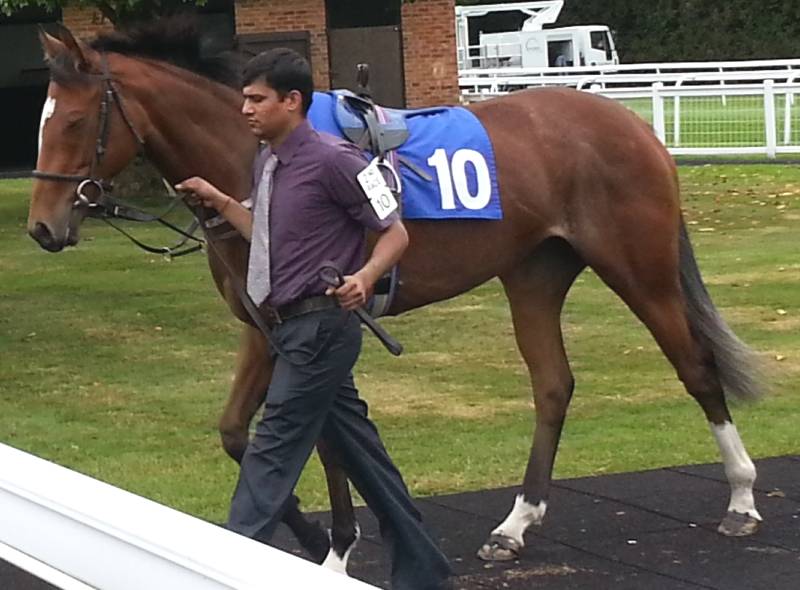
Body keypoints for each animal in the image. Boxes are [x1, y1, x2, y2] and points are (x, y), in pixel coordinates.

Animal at [28, 21, 764, 570]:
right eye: (43, 121)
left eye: (75, 122)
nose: (42, 227)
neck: (254, 158)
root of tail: (629, 123)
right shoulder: (264, 323)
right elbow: (241, 432)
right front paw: (310, 534)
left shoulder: (312, 320)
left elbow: (319, 439)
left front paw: (333, 547)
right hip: (533, 274)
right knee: (554, 385)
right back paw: (514, 526)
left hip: (640, 268)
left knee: (696, 367)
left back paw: (741, 501)